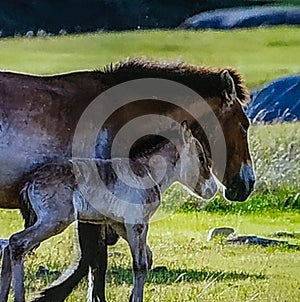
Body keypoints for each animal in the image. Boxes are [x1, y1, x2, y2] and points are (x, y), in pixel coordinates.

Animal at [0, 57, 254, 300]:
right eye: (244, 124)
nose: (247, 184)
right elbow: (95, 259)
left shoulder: (108, 217)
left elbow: (105, 259)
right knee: (17, 245)